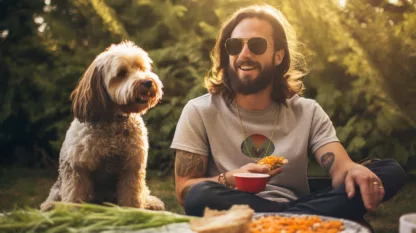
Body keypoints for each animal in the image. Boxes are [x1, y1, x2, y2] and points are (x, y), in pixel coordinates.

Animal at [40, 40, 164, 211]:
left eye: (141, 68)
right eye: (121, 73)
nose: (148, 82)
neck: (115, 121)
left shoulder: (131, 169)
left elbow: (131, 198)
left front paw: (133, 211)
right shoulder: (77, 169)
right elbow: (75, 197)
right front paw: (73, 213)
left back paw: (152, 203)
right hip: (57, 191)